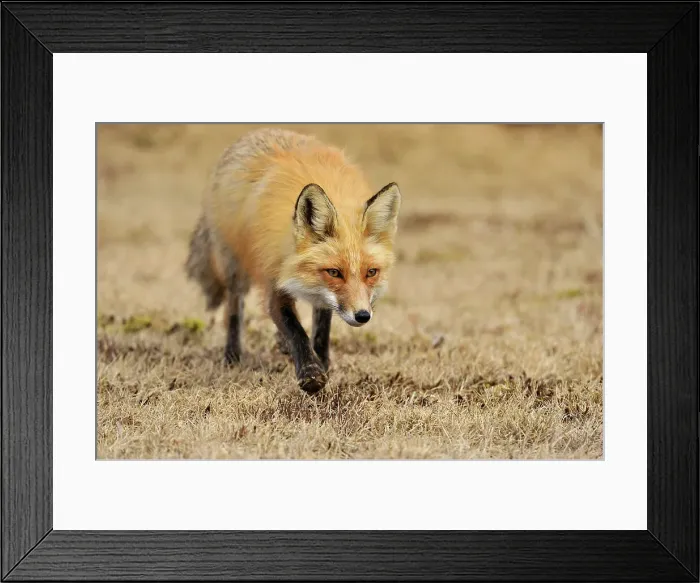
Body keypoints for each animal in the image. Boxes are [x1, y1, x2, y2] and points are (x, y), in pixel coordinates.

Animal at [185, 128, 402, 394]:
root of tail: (254, 132)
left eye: (371, 272)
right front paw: (311, 374)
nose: (362, 316)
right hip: (234, 265)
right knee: (234, 308)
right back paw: (232, 355)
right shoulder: (272, 279)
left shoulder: (322, 297)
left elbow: (320, 331)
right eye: (334, 272)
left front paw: (322, 362)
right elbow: (295, 330)